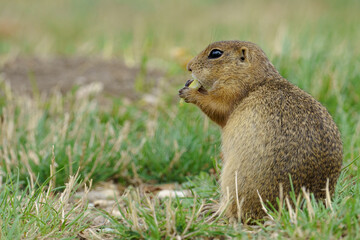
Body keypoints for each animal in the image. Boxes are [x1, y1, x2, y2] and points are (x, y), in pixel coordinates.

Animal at [179, 40, 344, 221]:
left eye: (215, 53)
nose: (189, 67)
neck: (257, 80)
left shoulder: (232, 90)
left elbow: (217, 106)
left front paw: (190, 91)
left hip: (232, 179)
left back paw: (214, 208)